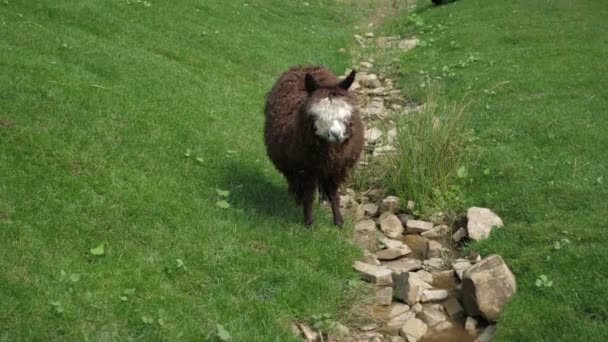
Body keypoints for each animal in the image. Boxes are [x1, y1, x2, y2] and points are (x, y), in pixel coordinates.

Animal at [264, 66, 364, 227]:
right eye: (316, 115)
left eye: (347, 114)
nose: (336, 134)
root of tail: (304, 67)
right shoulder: (306, 168)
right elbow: (308, 195)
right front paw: (309, 223)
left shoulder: (337, 168)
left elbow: (334, 194)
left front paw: (338, 222)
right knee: (294, 183)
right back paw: (295, 200)